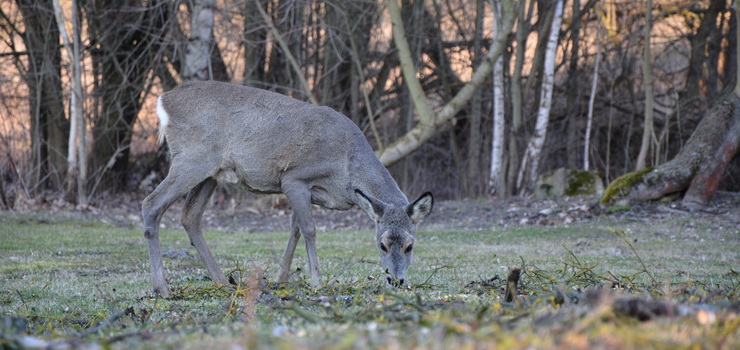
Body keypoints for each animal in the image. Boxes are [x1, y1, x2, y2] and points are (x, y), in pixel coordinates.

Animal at [142, 80, 434, 296]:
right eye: (382, 245)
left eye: (410, 246)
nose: (396, 280)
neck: (347, 166)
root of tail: (163, 101)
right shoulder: (293, 178)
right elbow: (309, 229)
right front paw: (316, 281)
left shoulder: (307, 191)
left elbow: (294, 229)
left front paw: (281, 278)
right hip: (192, 158)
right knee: (151, 204)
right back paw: (163, 288)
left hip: (210, 173)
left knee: (190, 216)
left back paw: (222, 282)